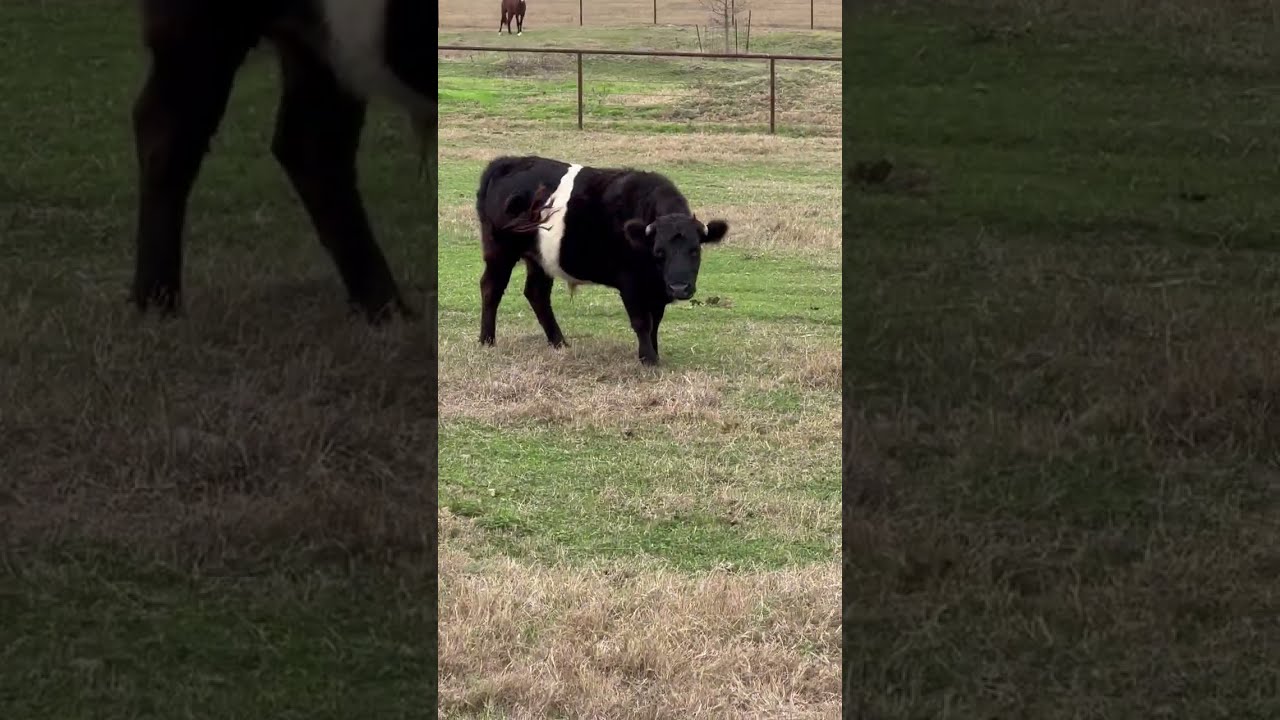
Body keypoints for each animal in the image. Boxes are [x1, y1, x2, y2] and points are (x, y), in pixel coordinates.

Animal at [130, 0, 432, 323]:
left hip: (322, 49)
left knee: (311, 146)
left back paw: (386, 310)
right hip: (203, 27)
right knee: (167, 133)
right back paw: (159, 302)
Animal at [475, 155, 730, 366]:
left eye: (695, 250)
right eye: (659, 252)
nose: (679, 287)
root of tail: (506, 162)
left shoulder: (657, 289)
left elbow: (655, 321)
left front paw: (654, 353)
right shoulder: (631, 283)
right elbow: (641, 321)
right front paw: (648, 358)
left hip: (539, 258)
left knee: (537, 293)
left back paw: (559, 342)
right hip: (500, 252)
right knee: (491, 288)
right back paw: (487, 340)